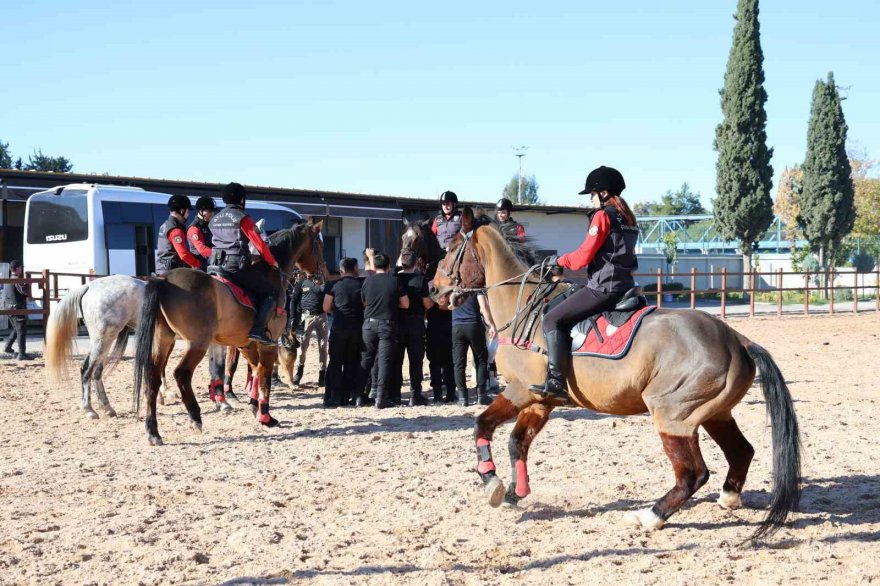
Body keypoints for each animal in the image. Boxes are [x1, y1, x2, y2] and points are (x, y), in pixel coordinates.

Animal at [131, 221, 324, 444]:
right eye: (319, 245)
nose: (321, 277)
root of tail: (164, 279)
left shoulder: (246, 345)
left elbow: (255, 372)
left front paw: (253, 407)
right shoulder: (268, 344)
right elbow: (264, 378)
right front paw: (265, 416)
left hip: (163, 340)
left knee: (152, 380)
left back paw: (153, 431)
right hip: (197, 343)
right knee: (181, 374)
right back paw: (195, 416)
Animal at [430, 212, 800, 540]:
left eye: (451, 249)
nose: (433, 290)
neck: (524, 309)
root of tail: (737, 340)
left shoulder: (521, 391)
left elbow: (482, 426)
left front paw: (492, 483)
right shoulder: (540, 401)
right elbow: (516, 442)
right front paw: (514, 491)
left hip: (674, 416)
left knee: (692, 474)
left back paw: (650, 516)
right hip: (715, 414)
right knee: (741, 452)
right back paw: (728, 498)